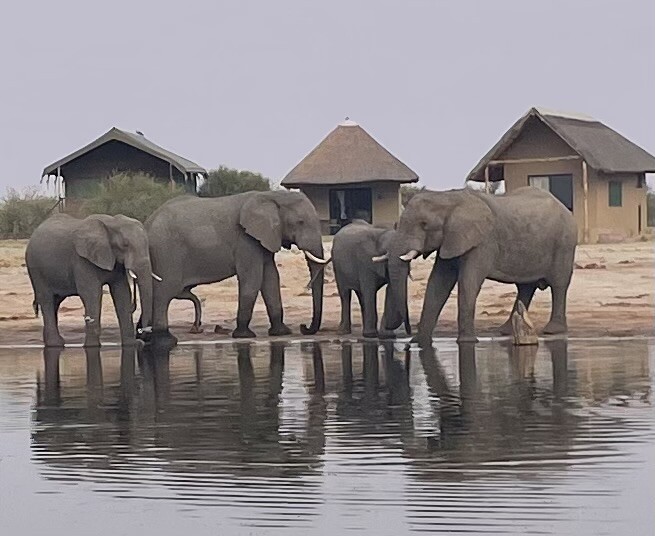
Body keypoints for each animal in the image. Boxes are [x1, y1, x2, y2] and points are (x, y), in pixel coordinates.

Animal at [25, 213, 157, 347]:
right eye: (125, 245)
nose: (142, 335)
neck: (112, 222)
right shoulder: (81, 259)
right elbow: (92, 294)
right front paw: (92, 347)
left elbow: (122, 293)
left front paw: (131, 345)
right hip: (35, 268)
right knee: (47, 300)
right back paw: (55, 344)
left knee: (55, 302)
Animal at [144, 190, 328, 341]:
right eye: (300, 222)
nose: (304, 327)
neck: (271, 195)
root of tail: (148, 222)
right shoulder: (246, 240)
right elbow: (252, 280)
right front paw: (244, 335)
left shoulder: (264, 239)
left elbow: (271, 279)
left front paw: (281, 333)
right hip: (166, 252)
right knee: (164, 293)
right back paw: (164, 340)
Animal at [383, 186, 577, 345]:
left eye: (424, 225)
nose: (408, 333)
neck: (448, 198)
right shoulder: (451, 240)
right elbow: (438, 283)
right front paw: (420, 342)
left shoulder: (483, 242)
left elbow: (468, 282)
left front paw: (467, 342)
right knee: (525, 287)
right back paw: (505, 330)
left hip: (565, 244)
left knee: (559, 285)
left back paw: (552, 330)